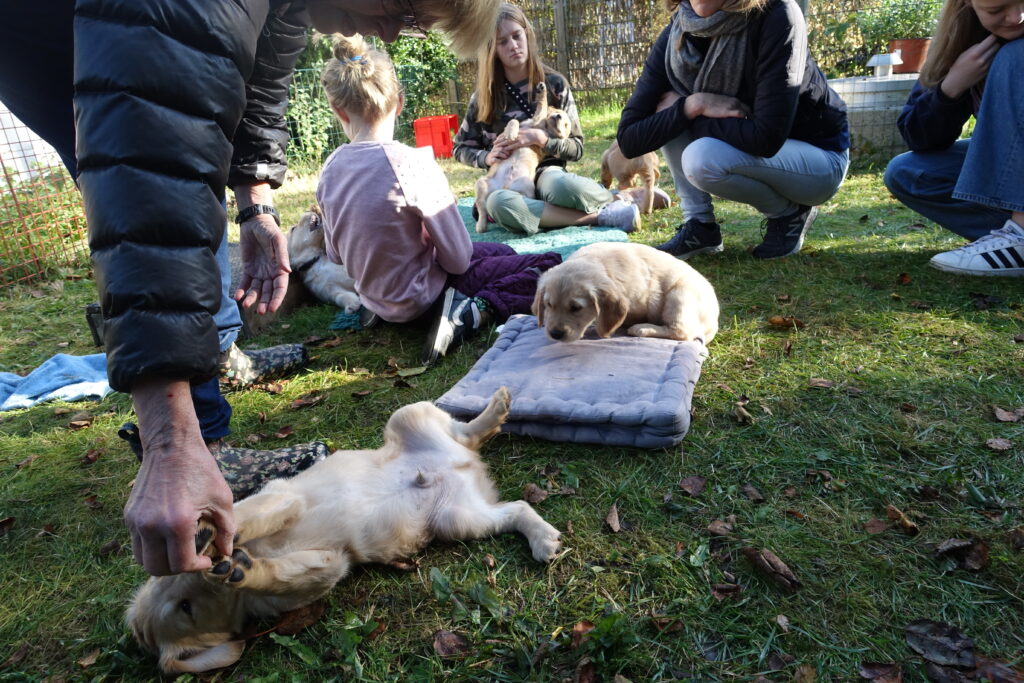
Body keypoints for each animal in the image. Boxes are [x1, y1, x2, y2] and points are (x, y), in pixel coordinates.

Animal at [129, 387, 565, 675]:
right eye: (186, 608)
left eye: (175, 579)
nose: (209, 563)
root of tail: (463, 463)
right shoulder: (325, 567)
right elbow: (280, 574)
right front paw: (241, 568)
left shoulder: (282, 497)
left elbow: (246, 516)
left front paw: (211, 534)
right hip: (461, 519)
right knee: (516, 507)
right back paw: (544, 539)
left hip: (408, 415)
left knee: (464, 431)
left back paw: (495, 410)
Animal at [473, 80, 573, 232]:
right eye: (558, 112)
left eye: (566, 124)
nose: (558, 116)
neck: (543, 127)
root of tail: (504, 188)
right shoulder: (528, 122)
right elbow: (514, 121)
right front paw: (511, 133)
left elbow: (542, 106)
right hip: (482, 184)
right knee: (482, 208)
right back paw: (481, 225)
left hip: (529, 189)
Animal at [532, 242, 716, 344]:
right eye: (548, 305)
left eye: (576, 308)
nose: (555, 334)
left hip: (680, 294)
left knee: (682, 332)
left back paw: (642, 329)